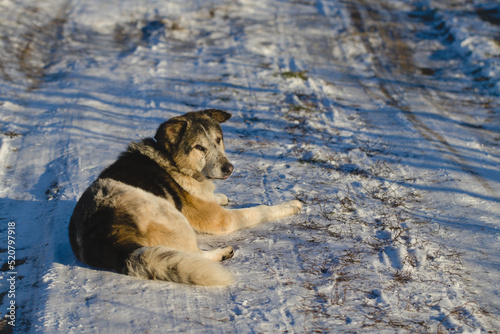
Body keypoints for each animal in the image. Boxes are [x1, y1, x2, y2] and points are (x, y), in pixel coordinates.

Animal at [68, 109, 302, 284]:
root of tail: (108, 241)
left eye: (219, 140)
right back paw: (221, 253)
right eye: (199, 147)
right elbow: (261, 209)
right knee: (195, 254)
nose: (229, 168)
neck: (173, 161)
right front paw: (291, 205)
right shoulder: (221, 220)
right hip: (172, 216)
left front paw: (220, 196)